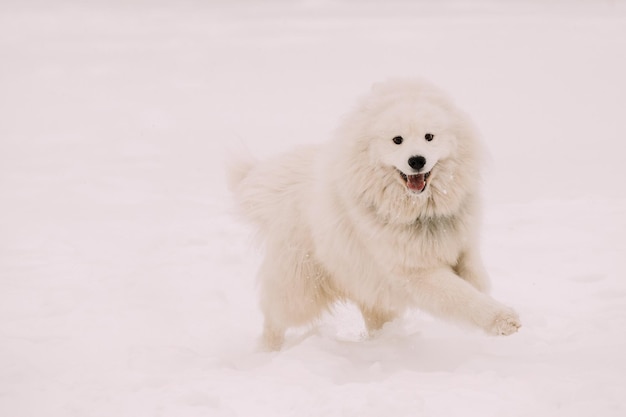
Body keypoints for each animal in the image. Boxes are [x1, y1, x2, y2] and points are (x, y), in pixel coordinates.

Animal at [227, 77, 520, 348]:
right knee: (275, 320)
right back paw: (266, 353)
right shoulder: (415, 273)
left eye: (429, 136)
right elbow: (461, 296)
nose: (417, 160)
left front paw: (485, 293)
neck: (421, 213)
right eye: (397, 140)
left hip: (368, 287)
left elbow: (475, 275)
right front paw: (503, 319)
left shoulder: (463, 242)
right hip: (300, 290)